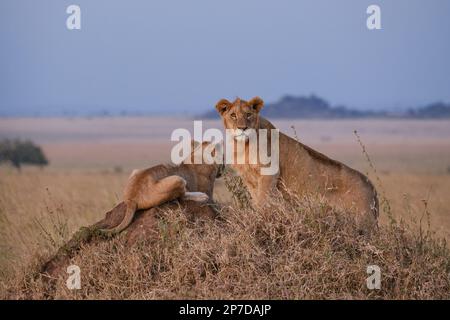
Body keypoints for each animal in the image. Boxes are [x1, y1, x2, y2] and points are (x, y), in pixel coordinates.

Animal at [216, 96, 378, 231]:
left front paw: (260, 220)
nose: (242, 128)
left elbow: (263, 201)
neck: (243, 145)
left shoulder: (269, 173)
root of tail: (371, 186)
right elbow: (256, 200)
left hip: (364, 222)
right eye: (233, 115)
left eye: (248, 115)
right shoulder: (249, 179)